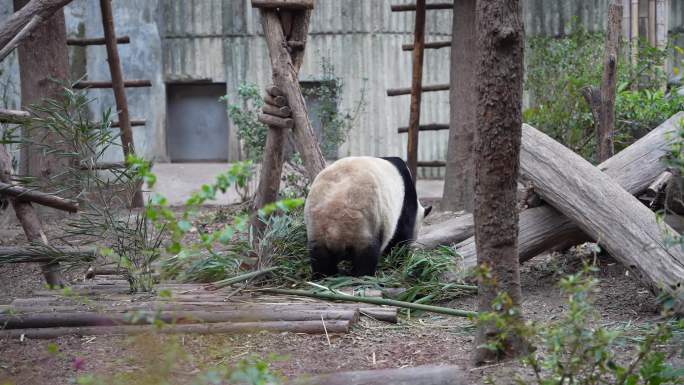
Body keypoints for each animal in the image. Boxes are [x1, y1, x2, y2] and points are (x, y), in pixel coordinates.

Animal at [304, 156, 432, 276]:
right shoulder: (405, 203)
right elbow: (401, 238)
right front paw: (397, 261)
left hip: (317, 226)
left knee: (320, 258)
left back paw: (324, 276)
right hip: (366, 223)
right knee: (366, 256)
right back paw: (364, 277)